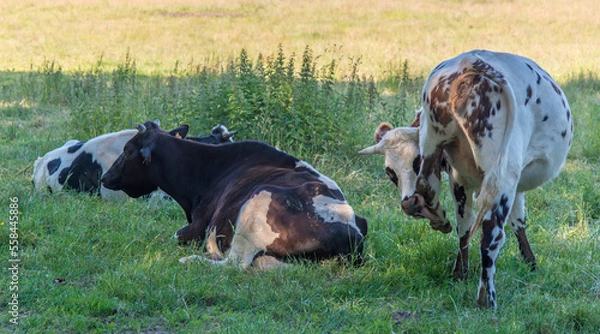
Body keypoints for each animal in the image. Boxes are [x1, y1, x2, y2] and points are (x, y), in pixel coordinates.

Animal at [101, 120, 368, 268]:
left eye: (128, 150)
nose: (105, 178)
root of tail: (350, 229)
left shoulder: (197, 228)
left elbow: (174, 236)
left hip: (256, 204)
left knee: (234, 264)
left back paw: (193, 261)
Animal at [358, 51, 576, 310]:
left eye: (415, 161)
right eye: (391, 173)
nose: (409, 203)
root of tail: (470, 63)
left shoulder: (458, 176)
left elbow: (474, 224)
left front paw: (461, 270)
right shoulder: (510, 182)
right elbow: (517, 221)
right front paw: (530, 262)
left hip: (434, 139)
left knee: (431, 190)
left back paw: (441, 223)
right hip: (503, 173)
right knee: (490, 233)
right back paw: (486, 297)